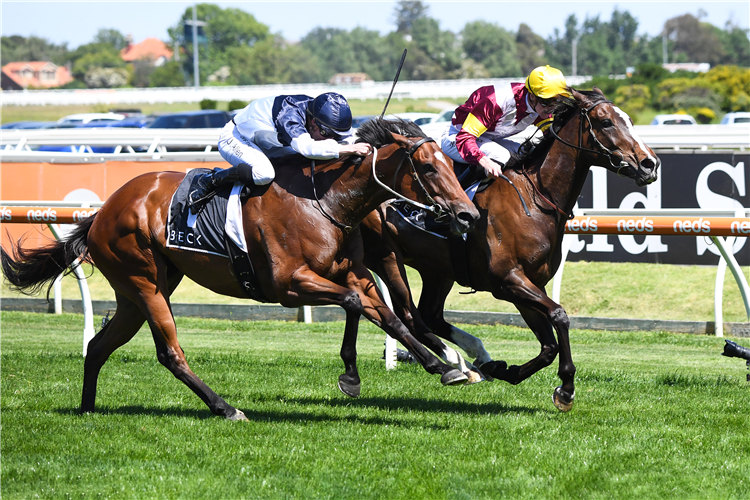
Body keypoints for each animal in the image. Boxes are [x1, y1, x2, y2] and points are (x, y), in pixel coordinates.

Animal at [0, 119, 482, 420]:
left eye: (449, 164)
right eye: (427, 167)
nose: (468, 215)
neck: (325, 202)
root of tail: (101, 213)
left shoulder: (353, 272)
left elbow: (384, 315)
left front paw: (445, 366)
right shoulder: (287, 284)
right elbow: (353, 304)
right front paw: (355, 374)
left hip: (137, 292)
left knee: (99, 346)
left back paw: (87, 409)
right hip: (144, 282)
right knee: (169, 353)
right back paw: (226, 407)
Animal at [362, 89, 660, 410]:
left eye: (629, 120)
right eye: (606, 122)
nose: (649, 164)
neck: (534, 199)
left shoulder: (529, 284)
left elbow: (548, 345)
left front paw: (506, 370)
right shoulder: (508, 281)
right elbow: (560, 316)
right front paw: (566, 389)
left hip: (438, 270)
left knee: (430, 315)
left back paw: (476, 359)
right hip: (387, 257)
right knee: (407, 314)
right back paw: (457, 363)